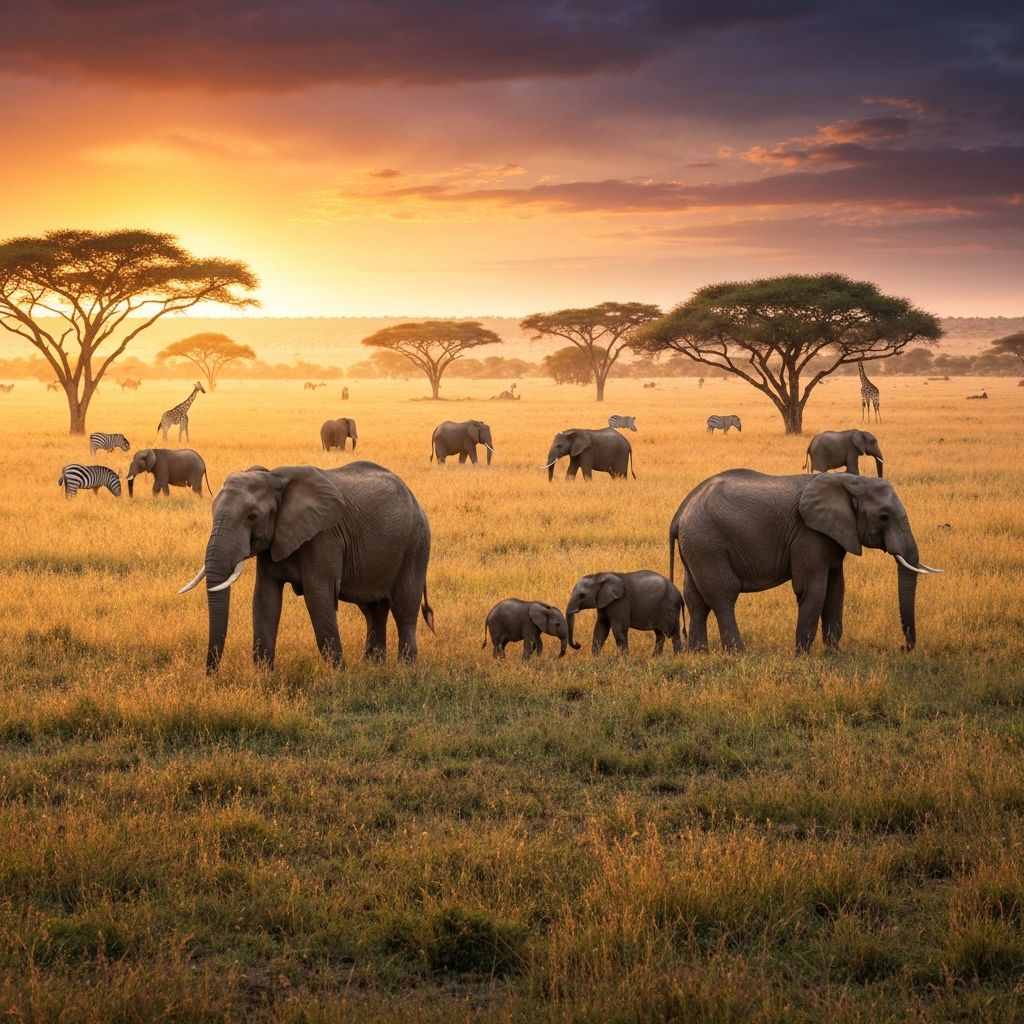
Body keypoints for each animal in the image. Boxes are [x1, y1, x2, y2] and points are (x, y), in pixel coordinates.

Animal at [179, 461, 433, 672]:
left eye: (252, 516)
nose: (211, 675)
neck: (274, 479)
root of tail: (416, 500)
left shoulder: (323, 537)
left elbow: (318, 596)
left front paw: (338, 675)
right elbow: (265, 598)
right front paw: (263, 677)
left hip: (416, 544)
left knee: (404, 606)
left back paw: (405, 669)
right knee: (373, 609)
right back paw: (373, 667)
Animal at [668, 469, 942, 654]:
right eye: (883, 516)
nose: (903, 648)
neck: (848, 481)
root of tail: (679, 514)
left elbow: (836, 588)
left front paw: (834, 654)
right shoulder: (808, 533)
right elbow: (812, 588)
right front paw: (803, 656)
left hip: (697, 547)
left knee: (696, 599)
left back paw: (699, 654)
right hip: (708, 543)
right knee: (723, 595)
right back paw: (739, 654)